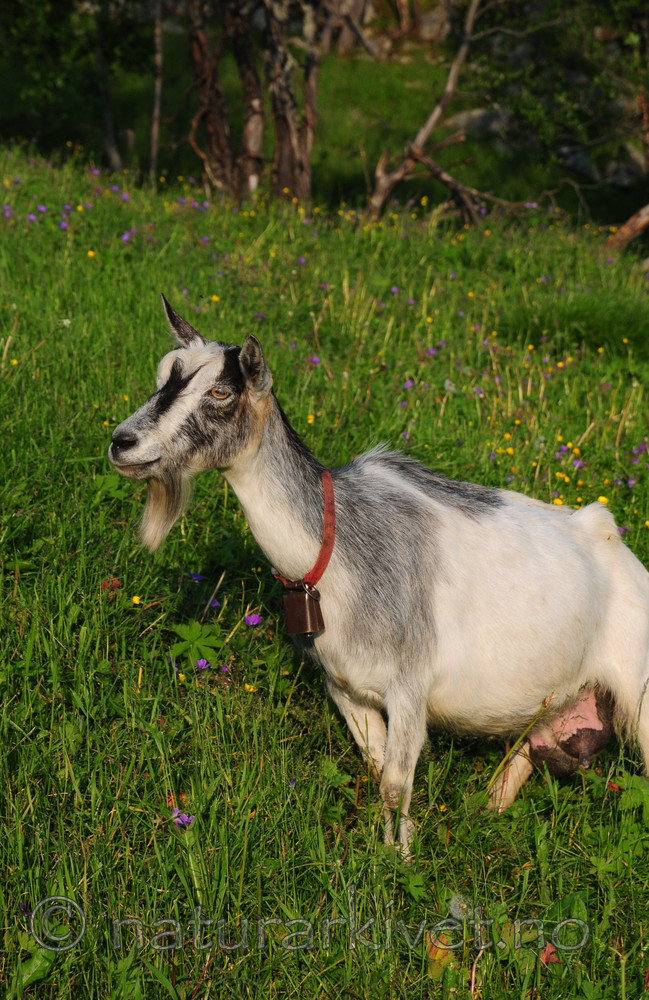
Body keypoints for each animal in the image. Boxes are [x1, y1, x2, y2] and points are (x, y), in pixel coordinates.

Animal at [108, 296, 649, 854]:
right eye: (162, 374)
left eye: (220, 391)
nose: (122, 442)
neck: (335, 553)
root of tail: (613, 541)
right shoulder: (343, 686)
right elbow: (375, 766)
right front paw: (385, 852)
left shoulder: (411, 686)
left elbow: (394, 783)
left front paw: (400, 861)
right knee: (521, 760)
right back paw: (487, 811)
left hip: (638, 690)